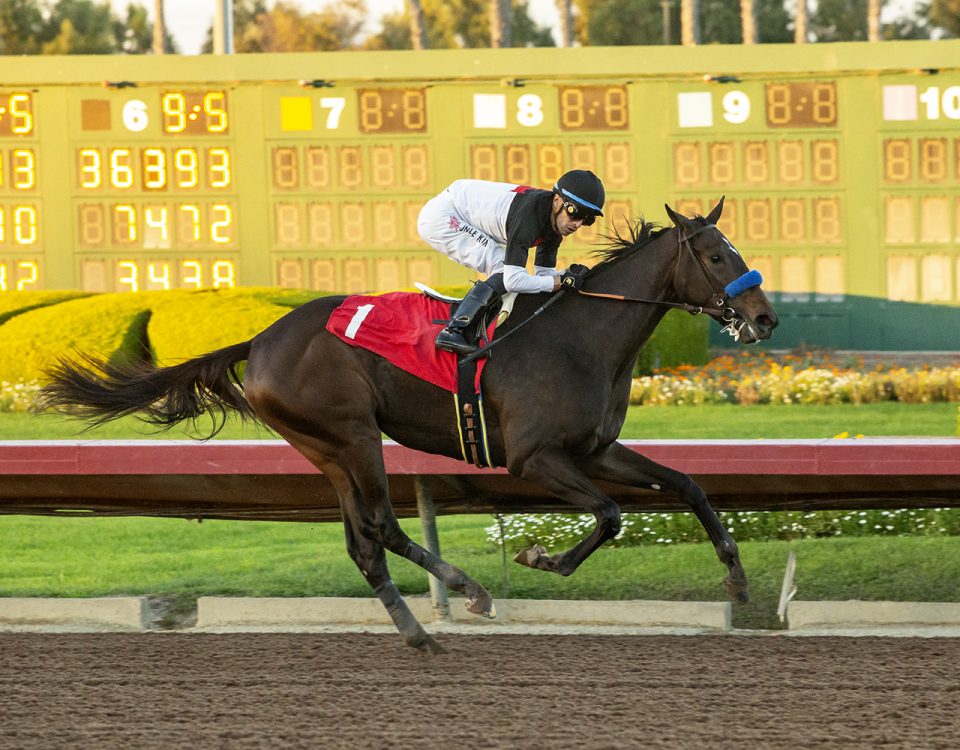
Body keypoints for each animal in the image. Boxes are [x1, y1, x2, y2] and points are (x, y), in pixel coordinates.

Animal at [41, 200, 780, 652]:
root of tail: (261, 339)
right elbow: (610, 516)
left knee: (365, 541)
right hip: (353, 435)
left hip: (327, 448)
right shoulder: (534, 459)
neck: (580, 338)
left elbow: (686, 486)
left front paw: (738, 581)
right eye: (716, 256)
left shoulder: (595, 450)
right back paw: (465, 593)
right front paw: (541, 557)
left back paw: (423, 627)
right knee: (382, 527)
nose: (764, 317)